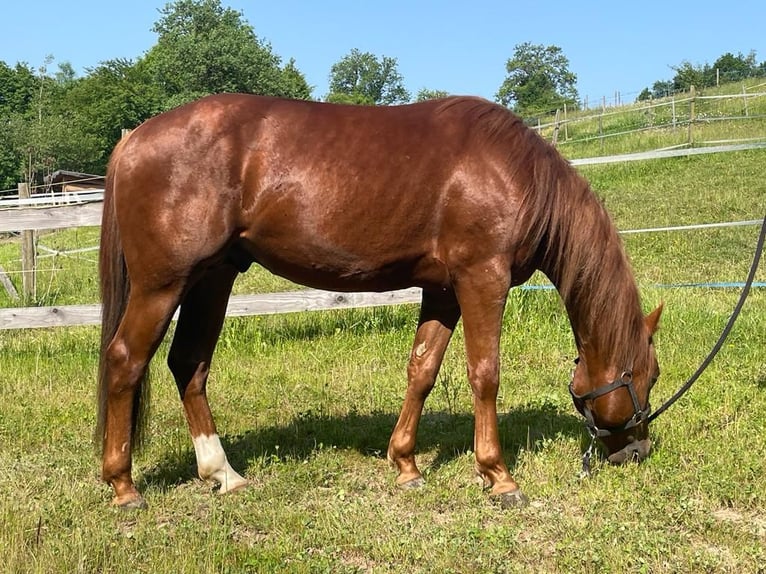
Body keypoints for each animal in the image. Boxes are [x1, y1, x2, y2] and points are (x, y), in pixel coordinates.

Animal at [96, 94, 662, 510]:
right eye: (647, 376)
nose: (638, 452)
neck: (515, 174)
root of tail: (133, 141)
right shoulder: (482, 279)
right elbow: (485, 373)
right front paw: (499, 476)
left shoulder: (443, 291)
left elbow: (422, 370)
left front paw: (406, 465)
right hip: (163, 284)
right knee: (125, 361)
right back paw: (124, 486)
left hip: (213, 278)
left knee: (188, 364)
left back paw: (223, 473)